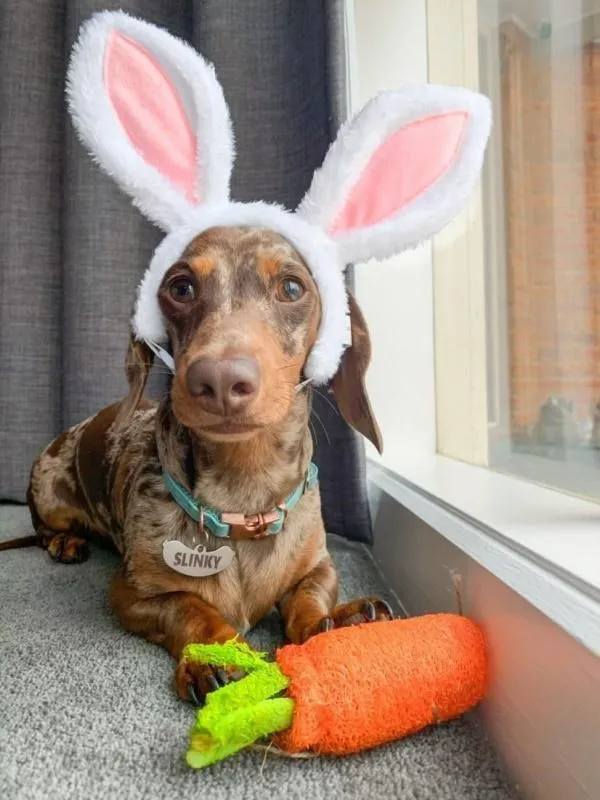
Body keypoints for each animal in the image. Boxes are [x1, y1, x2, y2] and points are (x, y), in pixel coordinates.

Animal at [19, 225, 390, 700]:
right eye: (181, 288)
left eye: (292, 288)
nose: (219, 379)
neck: (244, 500)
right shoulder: (132, 592)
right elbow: (188, 605)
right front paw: (219, 652)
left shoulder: (320, 567)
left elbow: (309, 597)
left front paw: (335, 621)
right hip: (50, 492)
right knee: (44, 527)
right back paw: (64, 542)